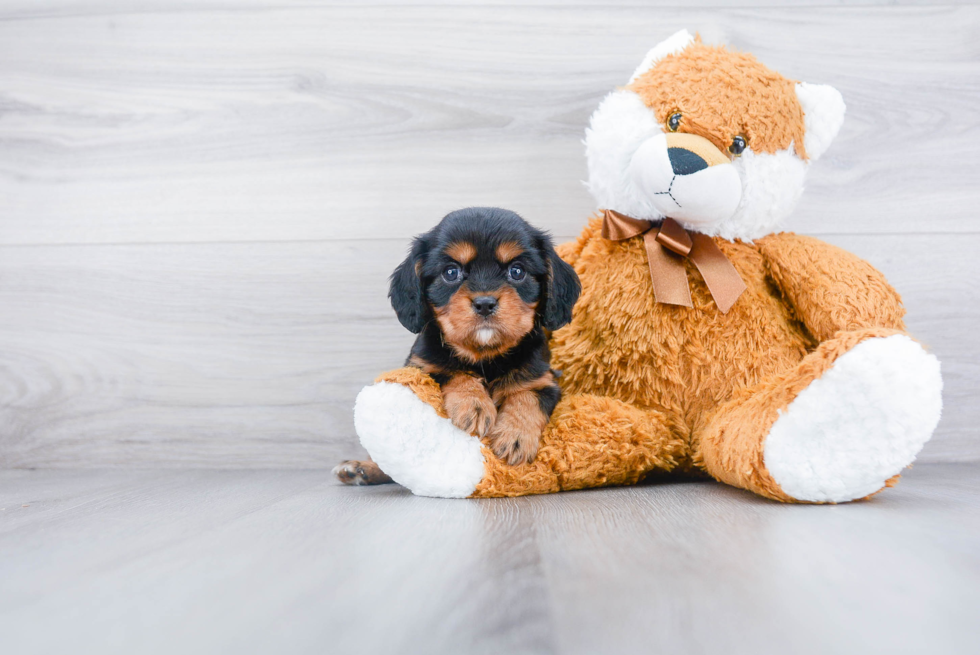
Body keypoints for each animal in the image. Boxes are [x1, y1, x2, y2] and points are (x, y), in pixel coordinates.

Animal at [336, 206, 580, 486]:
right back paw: (360, 469)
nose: (484, 303)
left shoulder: (544, 380)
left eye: (517, 271)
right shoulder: (423, 367)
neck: (485, 356)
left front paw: (515, 435)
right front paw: (474, 405)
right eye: (450, 272)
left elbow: (527, 397)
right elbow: (454, 372)